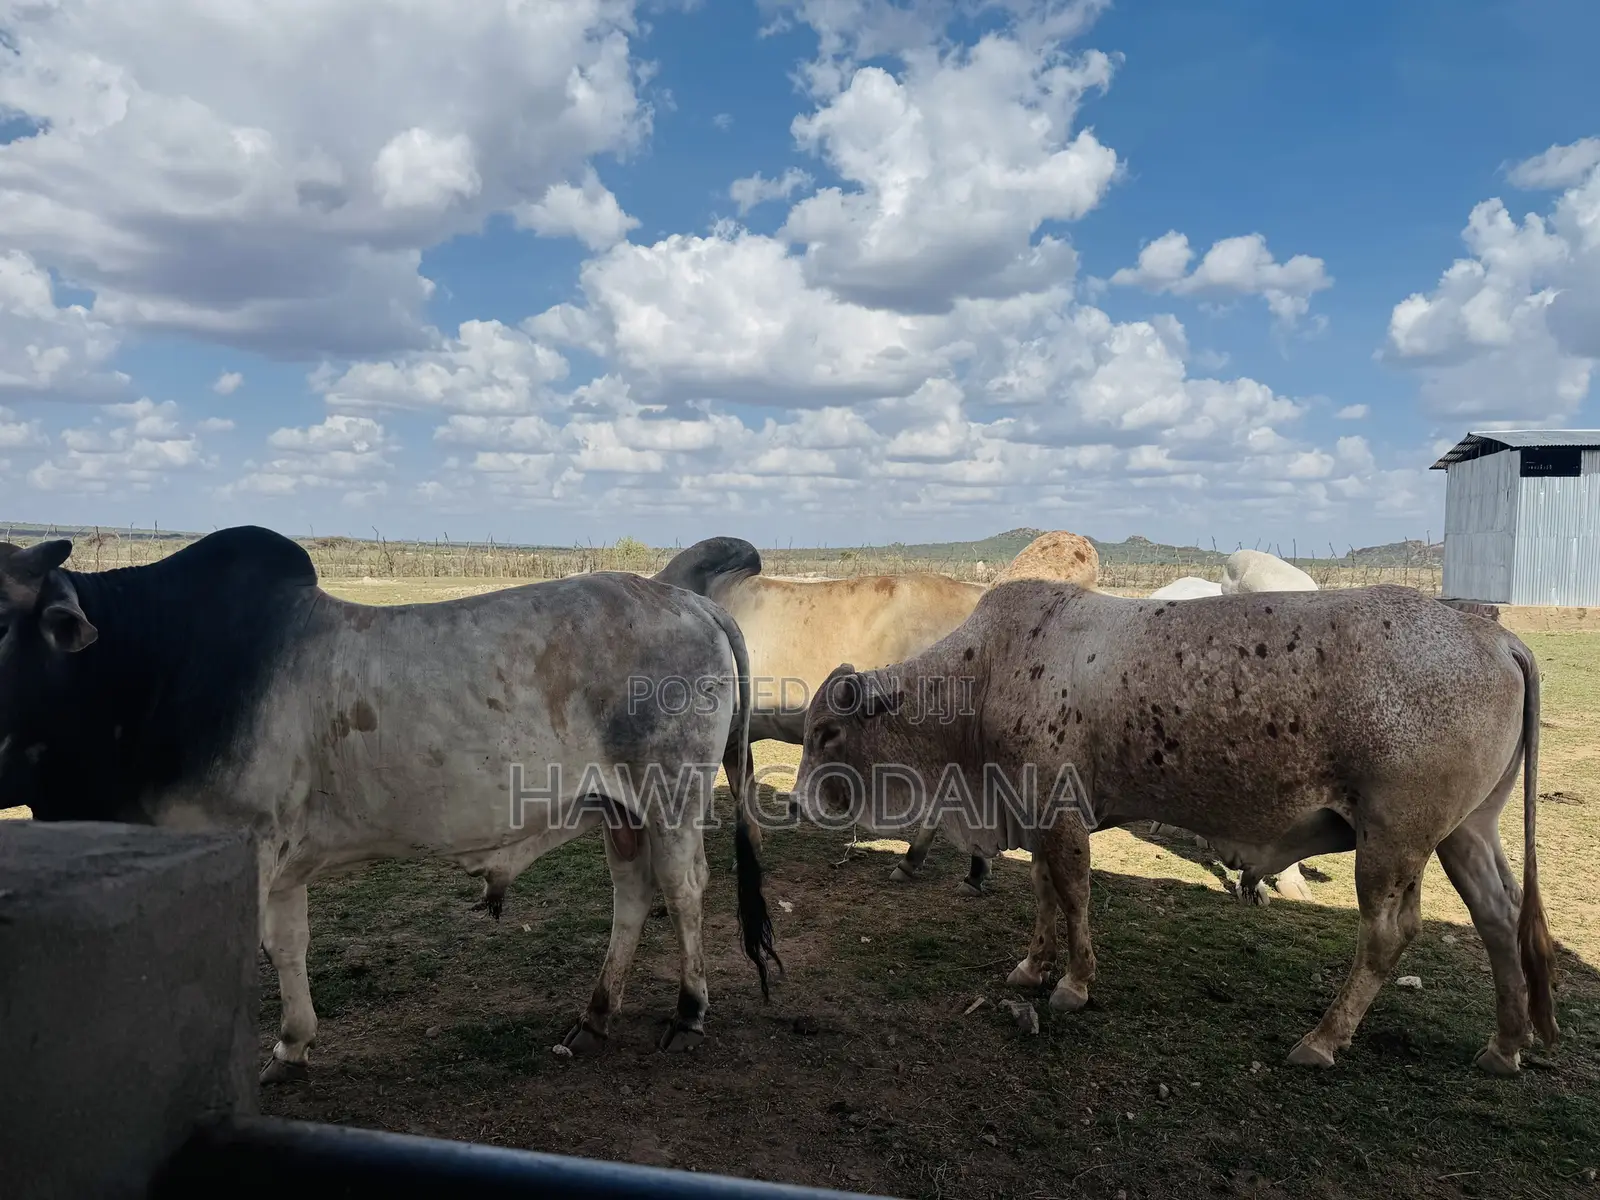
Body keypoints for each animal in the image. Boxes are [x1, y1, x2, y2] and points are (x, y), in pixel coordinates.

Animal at [0, 528, 779, 1083]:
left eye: (0, 626)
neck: (149, 671)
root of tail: (694, 603)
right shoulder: (279, 863)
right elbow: (288, 946)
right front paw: (292, 1047)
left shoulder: (245, 848)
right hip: (621, 811)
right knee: (633, 894)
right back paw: (594, 1016)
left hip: (671, 795)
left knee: (684, 888)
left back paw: (688, 1011)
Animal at [788, 580, 1558, 1075]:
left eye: (828, 732)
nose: (793, 805)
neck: (987, 673)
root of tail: (1495, 635)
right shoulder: (1035, 814)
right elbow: (1043, 894)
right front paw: (1033, 965)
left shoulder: (1062, 815)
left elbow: (1073, 896)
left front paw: (1074, 983)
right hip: (1466, 832)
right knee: (1499, 916)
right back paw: (1506, 1044)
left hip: (1393, 841)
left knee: (1388, 935)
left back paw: (1323, 1038)